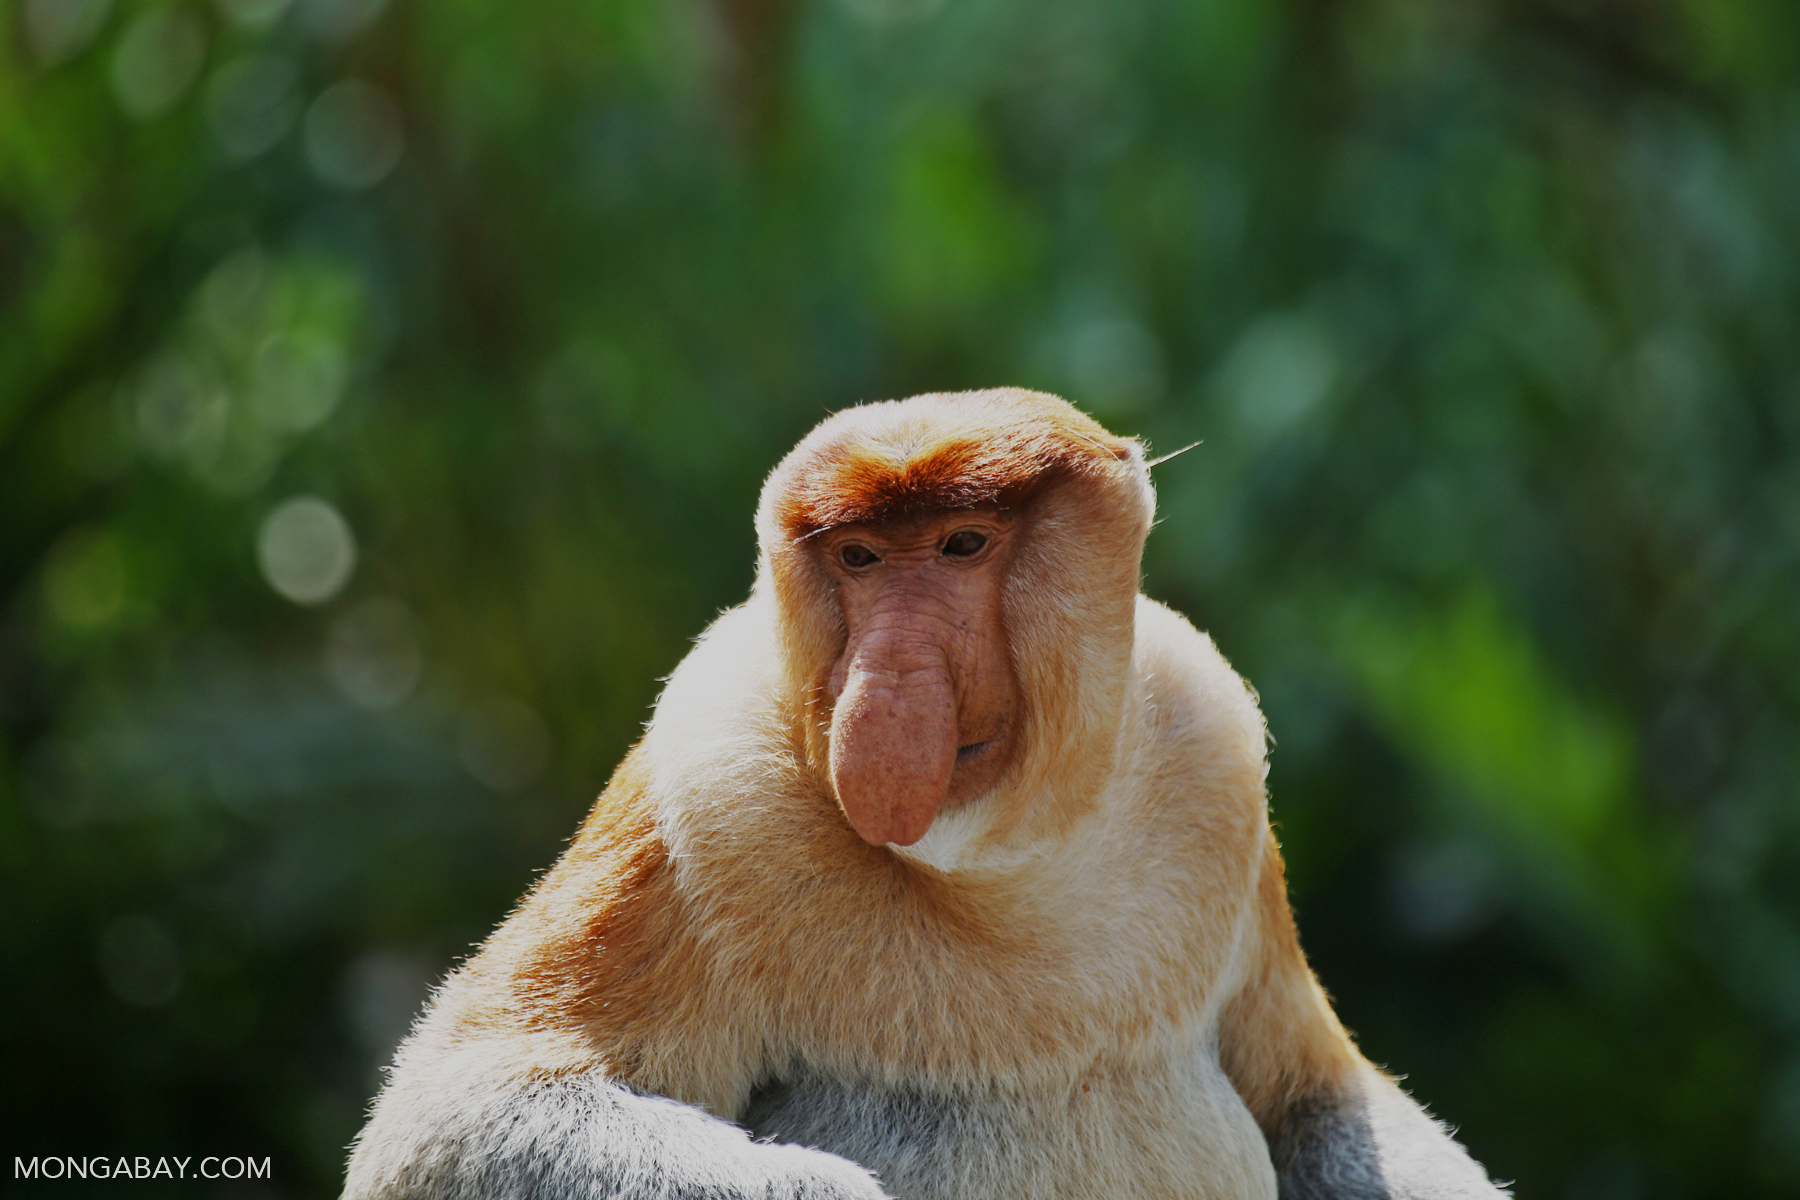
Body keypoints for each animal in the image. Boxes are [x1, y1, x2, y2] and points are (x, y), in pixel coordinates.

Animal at [342, 388, 1506, 1200]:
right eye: (860, 559)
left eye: (961, 545)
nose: (886, 686)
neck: (1001, 858)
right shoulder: (702, 789)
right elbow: (457, 1117)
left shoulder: (1212, 756)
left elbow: (1314, 1094)